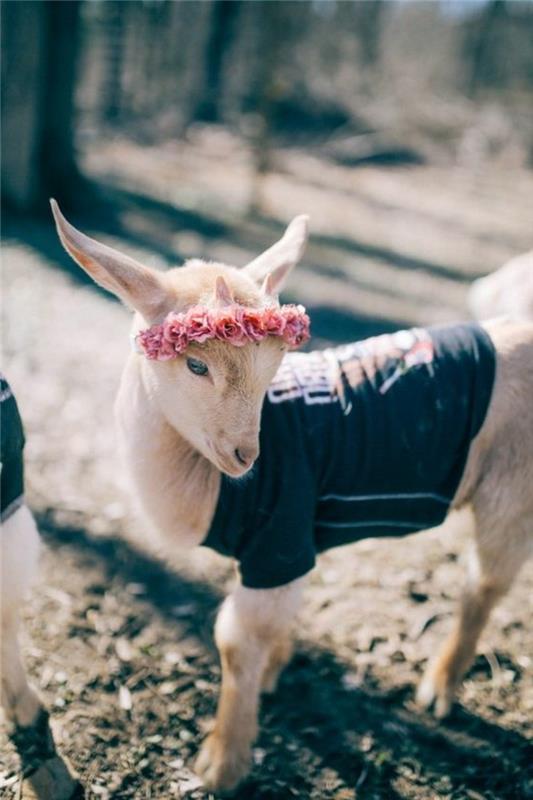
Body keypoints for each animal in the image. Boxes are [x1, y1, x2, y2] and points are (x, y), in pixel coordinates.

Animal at [51, 202, 532, 792]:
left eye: (275, 364)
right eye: (195, 364)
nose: (246, 455)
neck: (208, 487)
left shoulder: (277, 536)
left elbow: (236, 642)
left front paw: (222, 765)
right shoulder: (294, 543)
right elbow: (274, 625)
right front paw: (274, 672)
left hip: (513, 489)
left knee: (483, 584)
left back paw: (438, 689)